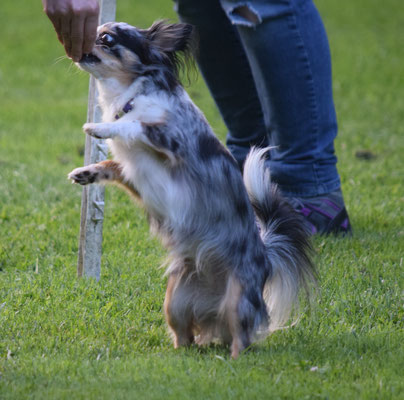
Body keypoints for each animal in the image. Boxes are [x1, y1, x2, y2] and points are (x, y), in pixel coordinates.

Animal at [68, 19, 316, 360]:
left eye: (107, 37)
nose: (81, 38)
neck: (132, 96)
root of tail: (266, 254)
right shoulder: (136, 177)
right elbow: (111, 165)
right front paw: (86, 172)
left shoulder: (173, 141)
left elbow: (135, 125)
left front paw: (102, 127)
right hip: (175, 300)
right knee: (186, 336)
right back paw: (178, 355)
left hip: (239, 298)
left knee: (243, 338)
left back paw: (235, 361)